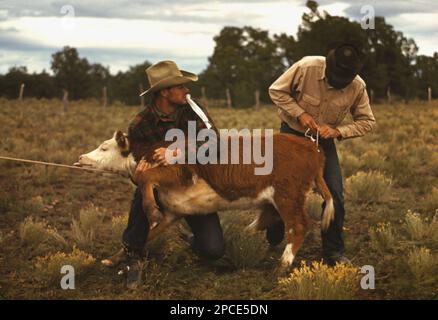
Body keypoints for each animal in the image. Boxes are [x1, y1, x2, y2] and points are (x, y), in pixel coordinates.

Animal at [76, 130, 336, 272]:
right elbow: (147, 234)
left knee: (299, 226)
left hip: (288, 195)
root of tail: (312, 147)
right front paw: (113, 259)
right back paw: (239, 239)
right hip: (275, 198)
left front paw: (151, 211)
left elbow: (144, 178)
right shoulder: (175, 210)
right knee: (267, 219)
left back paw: (282, 265)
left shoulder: (176, 173)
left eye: (104, 147)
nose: (81, 157)